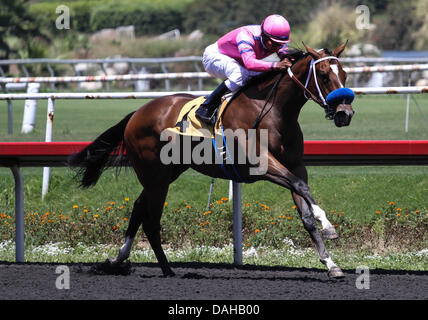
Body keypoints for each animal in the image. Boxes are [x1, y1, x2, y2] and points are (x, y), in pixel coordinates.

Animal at [68, 43, 354, 278]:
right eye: (325, 75)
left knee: (139, 208)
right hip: (155, 176)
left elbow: (305, 210)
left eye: (345, 75)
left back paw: (122, 260)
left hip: (165, 173)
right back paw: (165, 268)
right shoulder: (259, 164)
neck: (274, 112)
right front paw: (329, 225)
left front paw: (331, 263)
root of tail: (137, 112)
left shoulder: (295, 165)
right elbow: (301, 187)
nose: (345, 113)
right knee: (150, 219)